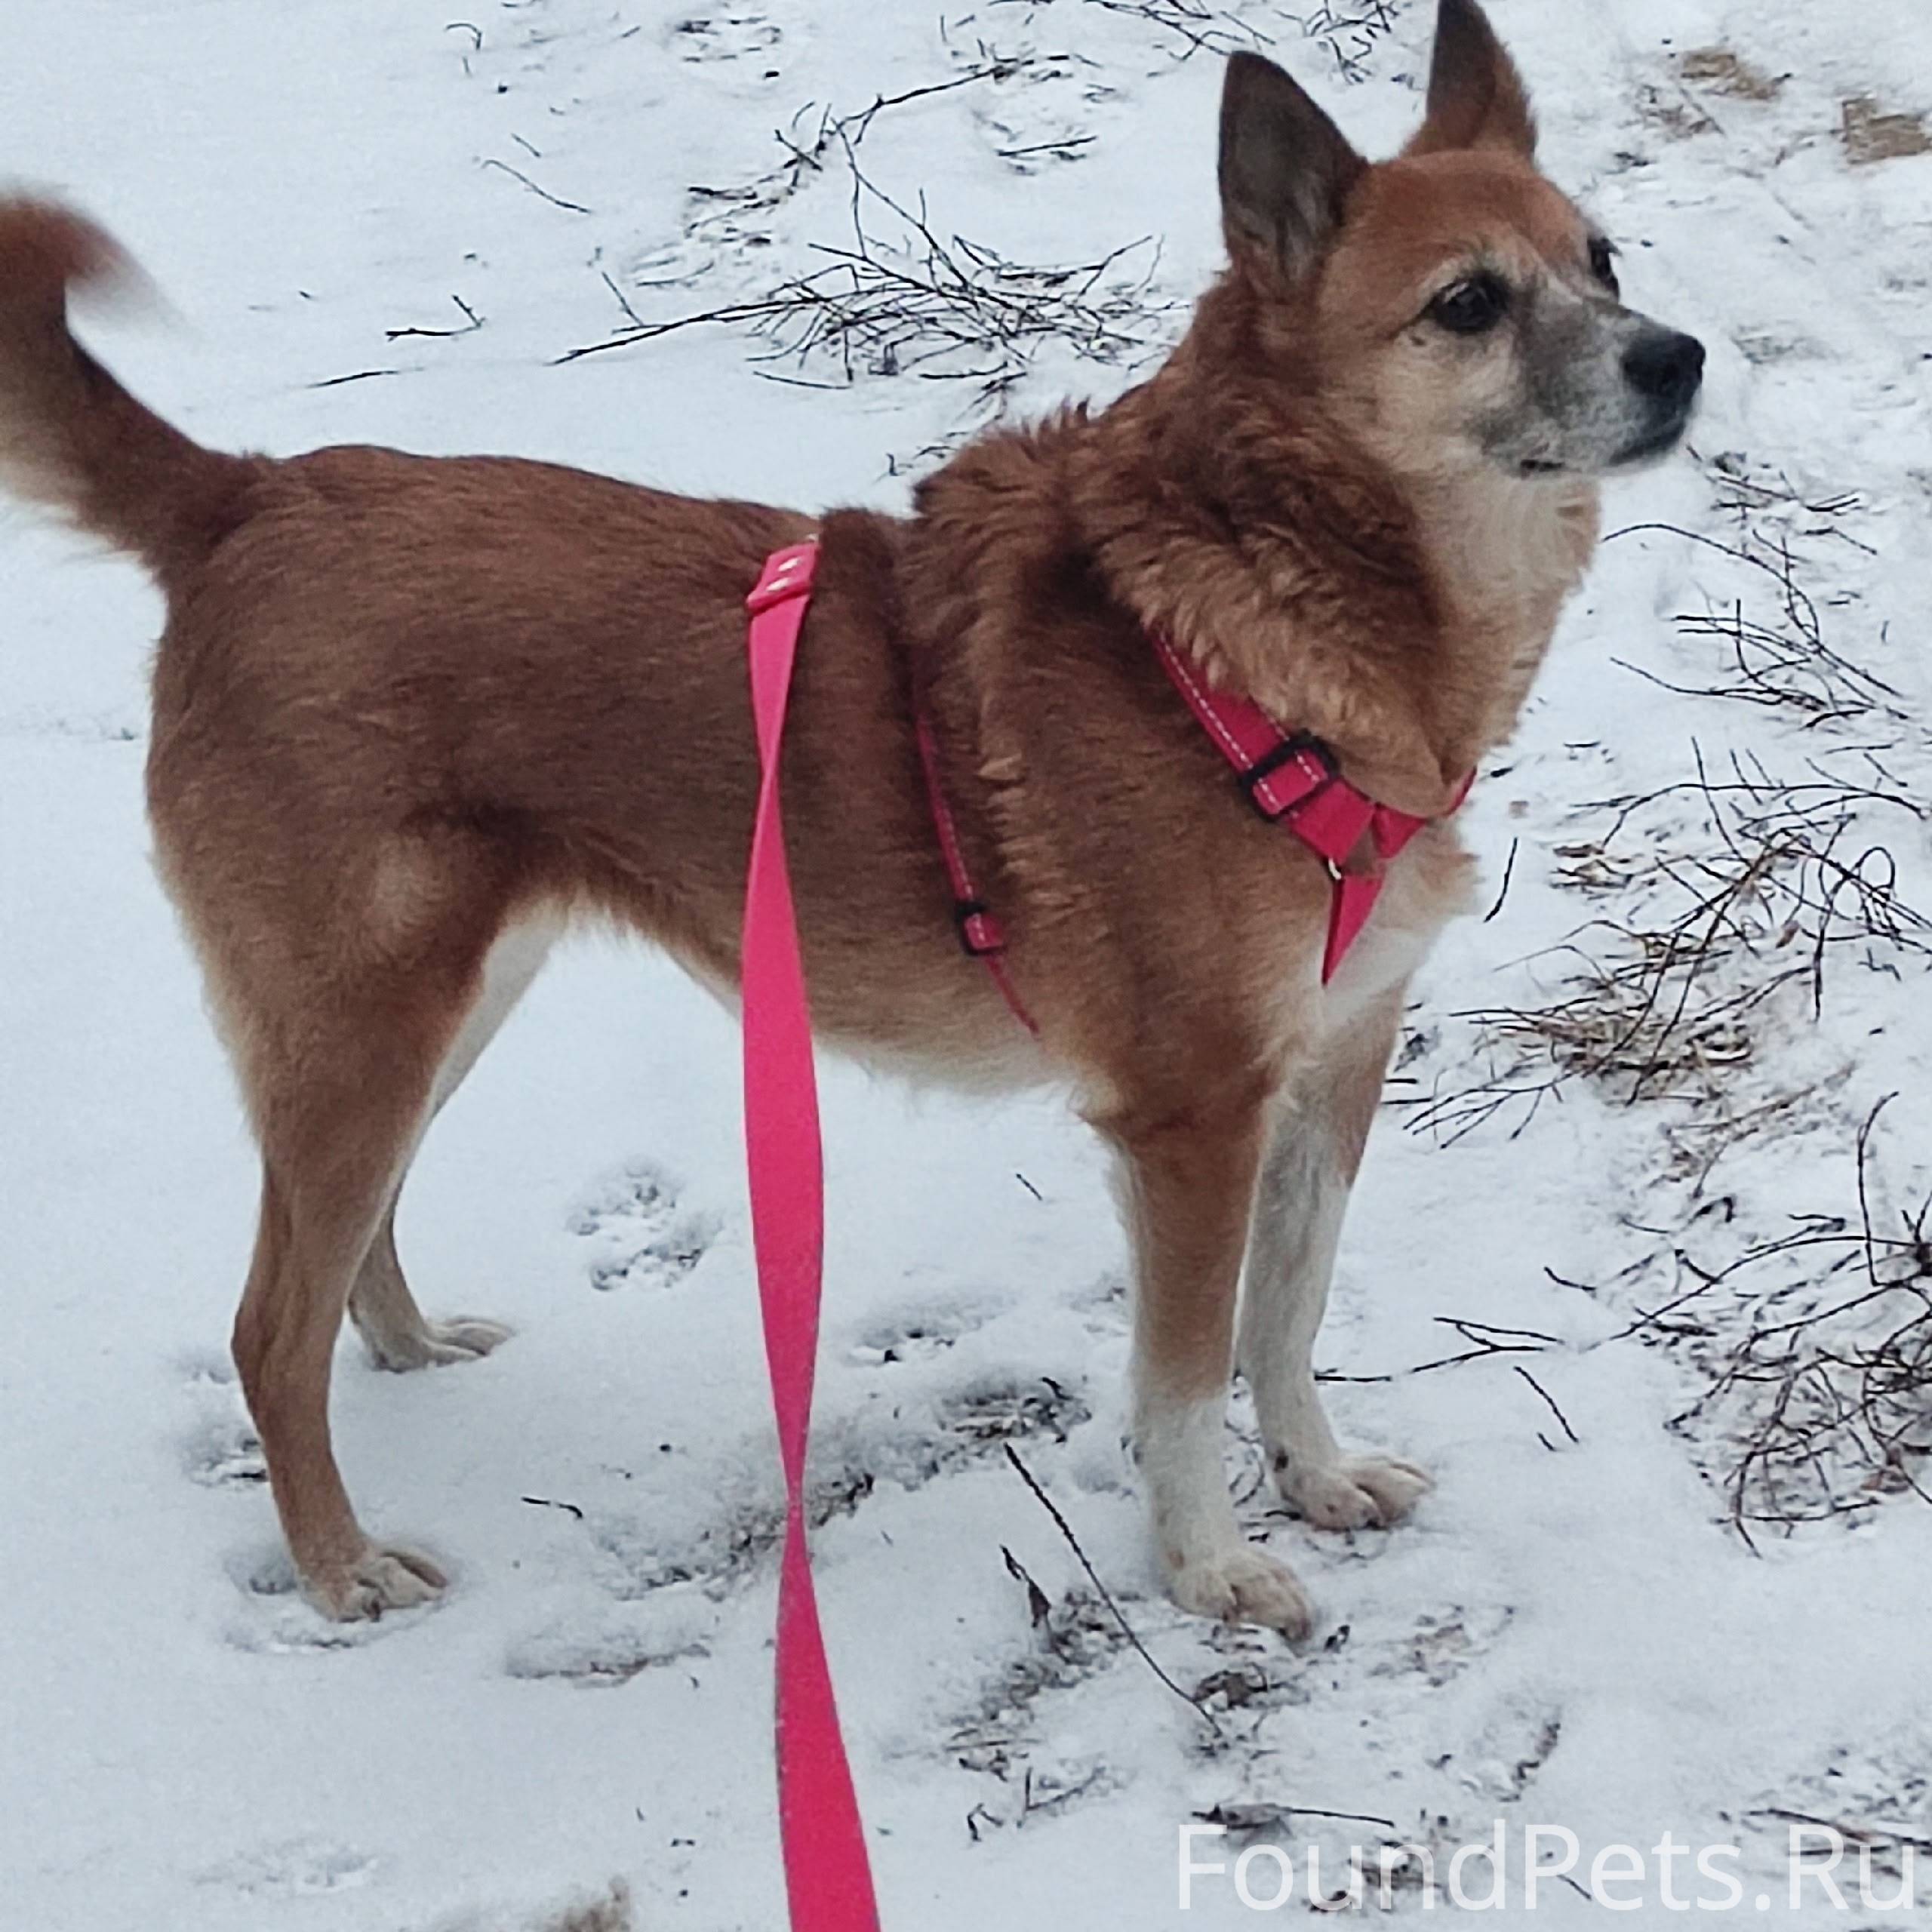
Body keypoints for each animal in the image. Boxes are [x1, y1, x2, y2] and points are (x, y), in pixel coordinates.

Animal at [0, 0, 1701, 1630]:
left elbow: (1287, 1317)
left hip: (439, 1003)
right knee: (267, 1324)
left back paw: (413, 1343)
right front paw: (1211, 1569)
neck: (1265, 613)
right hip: (366, 1023)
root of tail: (246, 498)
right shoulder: (1193, 1117)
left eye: (1602, 260)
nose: (1678, 356)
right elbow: (1180, 1379)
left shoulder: (1334, 1069)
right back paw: (340, 1564)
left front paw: (1317, 1475)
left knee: (346, 1249)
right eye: (1467, 304)